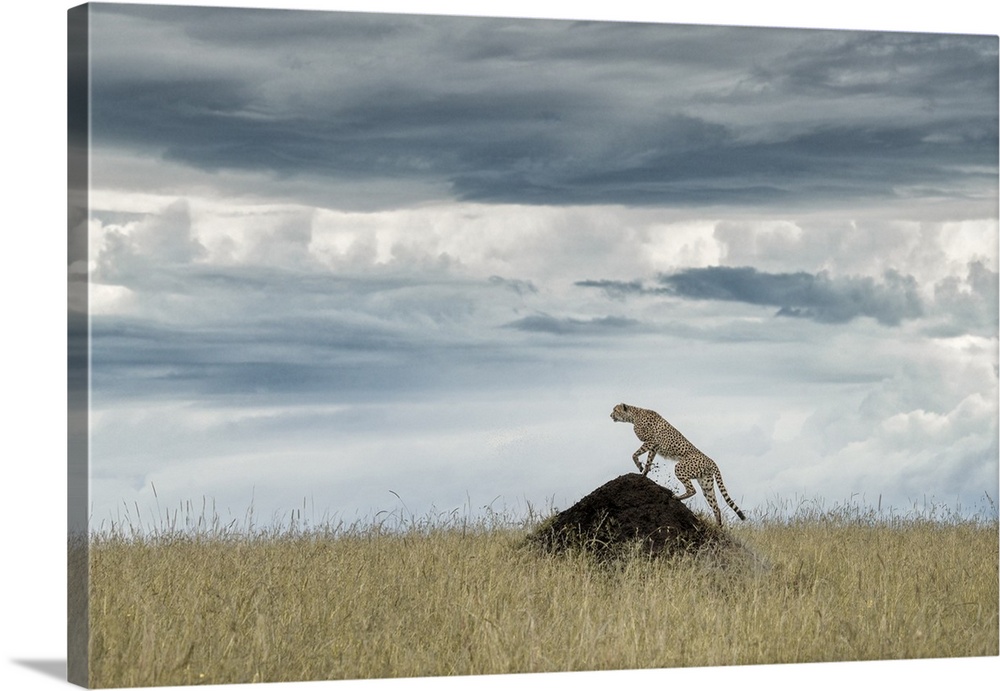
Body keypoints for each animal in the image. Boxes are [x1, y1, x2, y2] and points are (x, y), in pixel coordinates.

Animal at [604, 402, 748, 528]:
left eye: (615, 410)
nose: (610, 415)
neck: (634, 415)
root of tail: (711, 460)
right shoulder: (653, 447)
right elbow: (649, 461)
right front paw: (644, 473)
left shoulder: (650, 442)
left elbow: (634, 455)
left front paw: (639, 466)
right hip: (706, 484)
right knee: (716, 507)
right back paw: (719, 527)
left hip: (680, 468)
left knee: (692, 490)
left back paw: (677, 497)